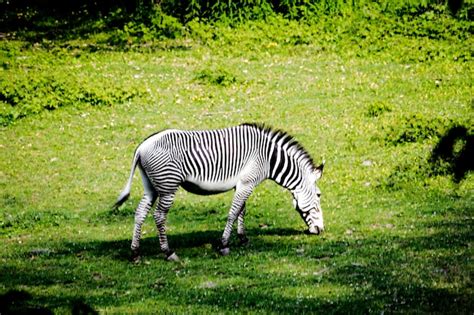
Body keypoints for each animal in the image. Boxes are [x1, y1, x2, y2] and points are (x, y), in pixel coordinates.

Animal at [114, 123, 326, 262]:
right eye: (319, 195)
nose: (320, 230)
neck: (269, 157)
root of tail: (142, 147)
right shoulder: (247, 183)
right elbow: (233, 212)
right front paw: (223, 245)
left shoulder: (243, 184)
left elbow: (241, 211)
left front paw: (243, 238)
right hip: (168, 186)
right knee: (159, 216)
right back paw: (168, 252)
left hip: (151, 186)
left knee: (140, 213)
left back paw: (135, 253)